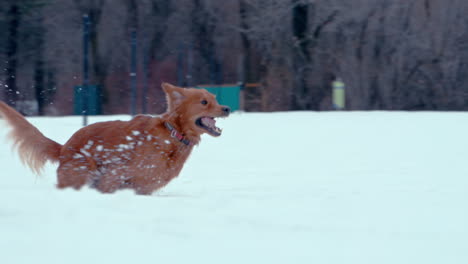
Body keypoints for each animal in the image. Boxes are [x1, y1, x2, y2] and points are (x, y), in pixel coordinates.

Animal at [0, 83, 230, 195]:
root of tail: (63, 148)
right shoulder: (115, 174)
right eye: (204, 102)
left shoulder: (144, 187)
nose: (227, 108)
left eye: (216, 99)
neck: (172, 134)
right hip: (83, 172)